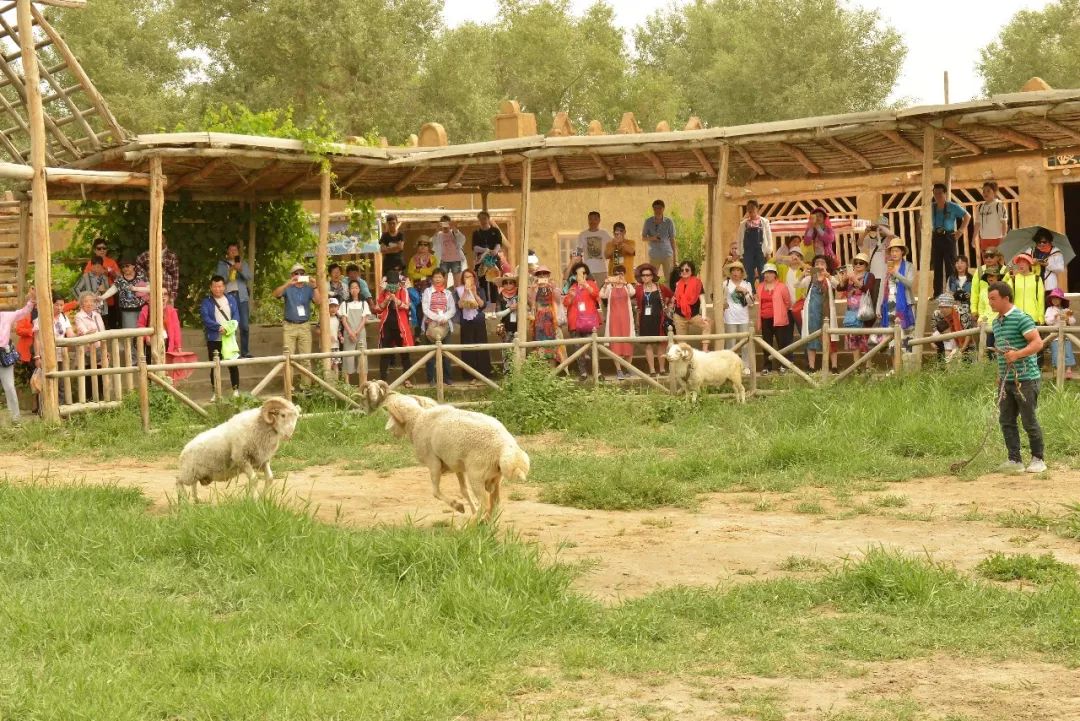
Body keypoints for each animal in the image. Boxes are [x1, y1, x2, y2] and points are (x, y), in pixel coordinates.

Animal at [362, 379, 531, 520]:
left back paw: (470, 526)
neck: (417, 420)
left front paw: (458, 506)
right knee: (495, 503)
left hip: (477, 474)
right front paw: (471, 509)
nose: (390, 431)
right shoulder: (457, 465)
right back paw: (484, 523)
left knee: (486, 503)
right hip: (495, 477)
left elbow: (436, 492)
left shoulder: (433, 464)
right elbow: (464, 491)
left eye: (391, 415)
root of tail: (505, 446)